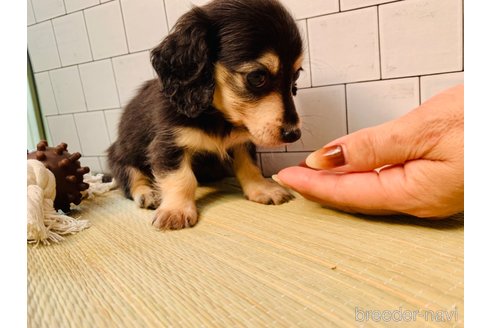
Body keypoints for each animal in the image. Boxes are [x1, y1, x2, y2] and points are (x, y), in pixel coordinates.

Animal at [107, 0, 304, 229]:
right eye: (256, 77)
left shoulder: (242, 141)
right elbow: (181, 178)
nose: (294, 134)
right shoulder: (168, 144)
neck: (216, 114)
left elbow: (249, 166)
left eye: (295, 76)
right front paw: (176, 210)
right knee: (131, 177)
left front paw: (262, 188)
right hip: (121, 157)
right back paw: (148, 194)